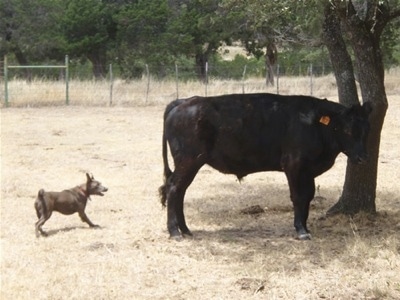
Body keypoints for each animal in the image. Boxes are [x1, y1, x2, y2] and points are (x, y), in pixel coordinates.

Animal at [159, 92, 372, 240]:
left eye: (366, 129)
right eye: (346, 129)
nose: (362, 157)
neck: (313, 123)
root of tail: (185, 101)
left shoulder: (308, 170)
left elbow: (308, 196)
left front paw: (305, 226)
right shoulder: (293, 165)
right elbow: (298, 197)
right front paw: (301, 230)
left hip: (189, 163)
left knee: (180, 191)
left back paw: (185, 230)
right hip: (189, 161)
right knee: (174, 188)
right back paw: (175, 231)